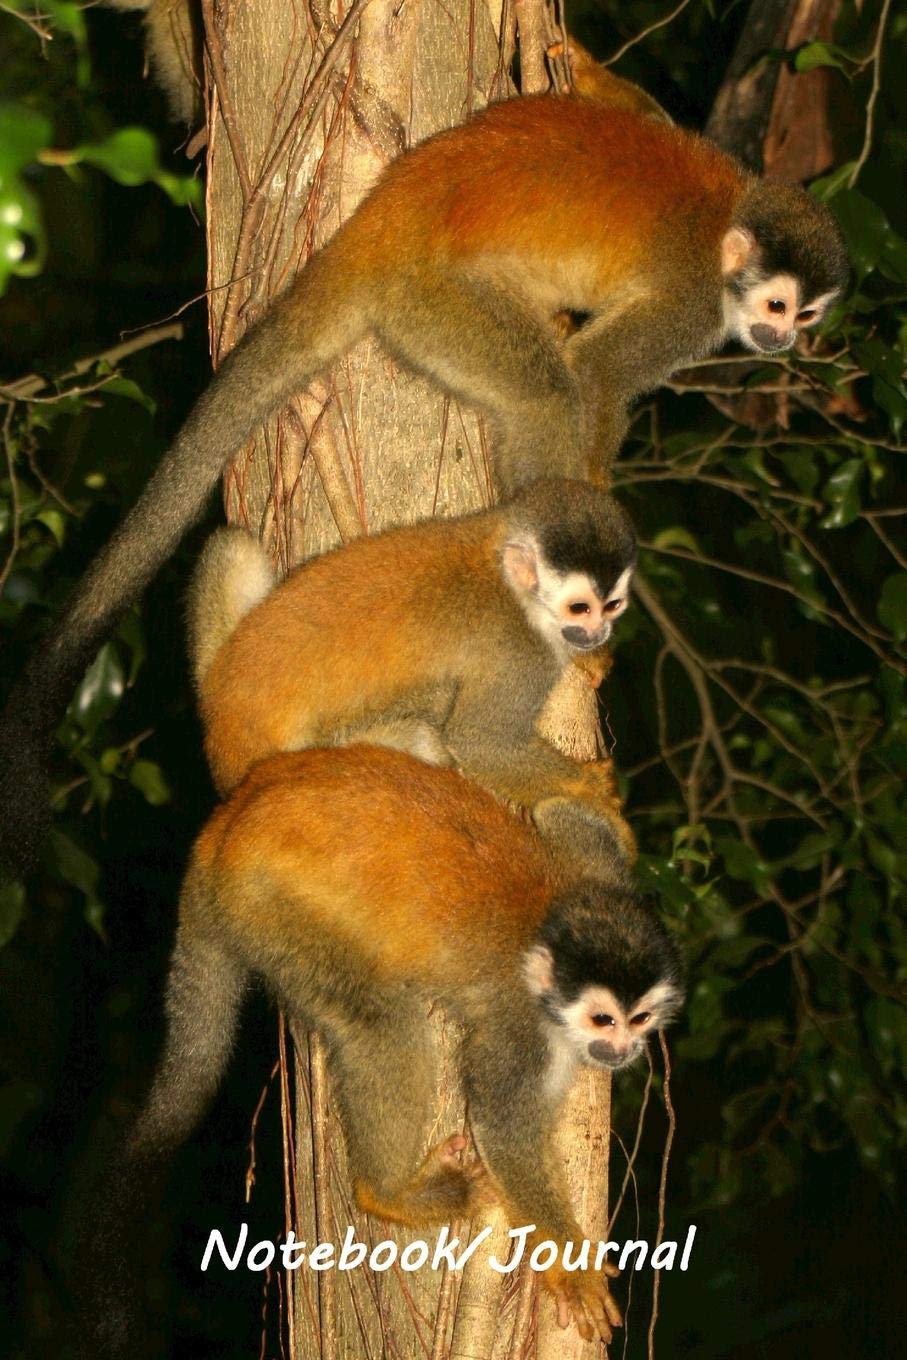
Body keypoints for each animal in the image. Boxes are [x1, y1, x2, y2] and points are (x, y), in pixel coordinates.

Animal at [91, 743, 683, 1352]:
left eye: (638, 1018)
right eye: (602, 1020)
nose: (623, 1049)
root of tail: (221, 831)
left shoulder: (600, 877)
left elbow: (564, 817)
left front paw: (595, 804)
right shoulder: (518, 1031)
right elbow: (504, 1130)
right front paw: (571, 1261)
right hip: (270, 913)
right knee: (381, 1021)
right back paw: (389, 1194)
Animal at [184, 479, 637, 853]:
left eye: (613, 606)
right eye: (580, 608)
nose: (597, 632)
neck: (499, 566)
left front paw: (591, 656)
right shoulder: (522, 652)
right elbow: (481, 741)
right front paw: (594, 792)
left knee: (231, 544)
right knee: (425, 738)